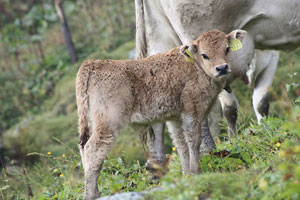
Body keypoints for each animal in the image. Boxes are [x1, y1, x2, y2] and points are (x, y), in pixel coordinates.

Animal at [75, 28, 246, 199]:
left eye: (227, 49)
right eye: (204, 54)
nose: (222, 68)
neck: (195, 66)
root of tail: (94, 64)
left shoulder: (175, 118)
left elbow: (181, 144)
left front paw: (187, 174)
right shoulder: (192, 112)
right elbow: (193, 141)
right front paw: (196, 172)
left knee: (84, 149)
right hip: (108, 125)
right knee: (93, 150)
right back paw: (91, 194)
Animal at [136, 0, 300, 166]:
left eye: (227, 48)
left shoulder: (269, 60)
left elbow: (259, 103)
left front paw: (260, 131)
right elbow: (232, 109)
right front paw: (239, 139)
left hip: (159, 35)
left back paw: (157, 165)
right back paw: (209, 153)